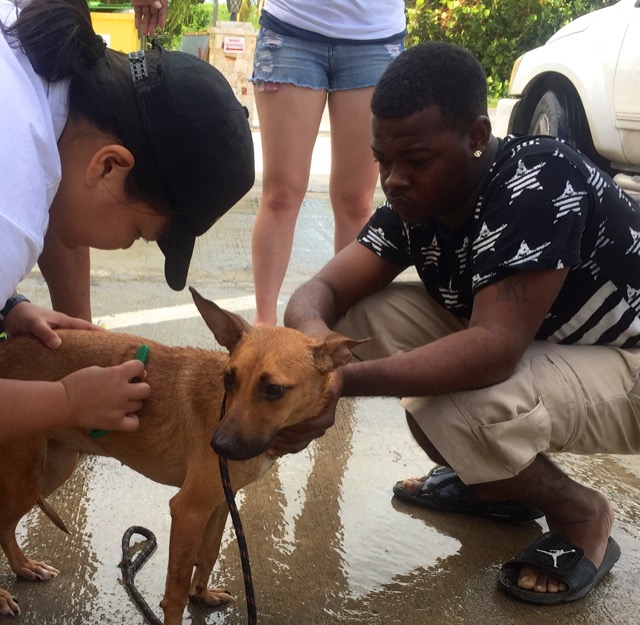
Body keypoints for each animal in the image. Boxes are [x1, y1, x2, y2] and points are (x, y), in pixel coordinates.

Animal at [0, 288, 358, 624]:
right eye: (229, 378)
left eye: (274, 390)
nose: (219, 446)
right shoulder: (188, 510)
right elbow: (174, 593)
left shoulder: (220, 502)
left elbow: (209, 555)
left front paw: (202, 593)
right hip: (26, 480)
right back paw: (4, 594)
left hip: (52, 469)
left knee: (5, 527)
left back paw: (24, 567)